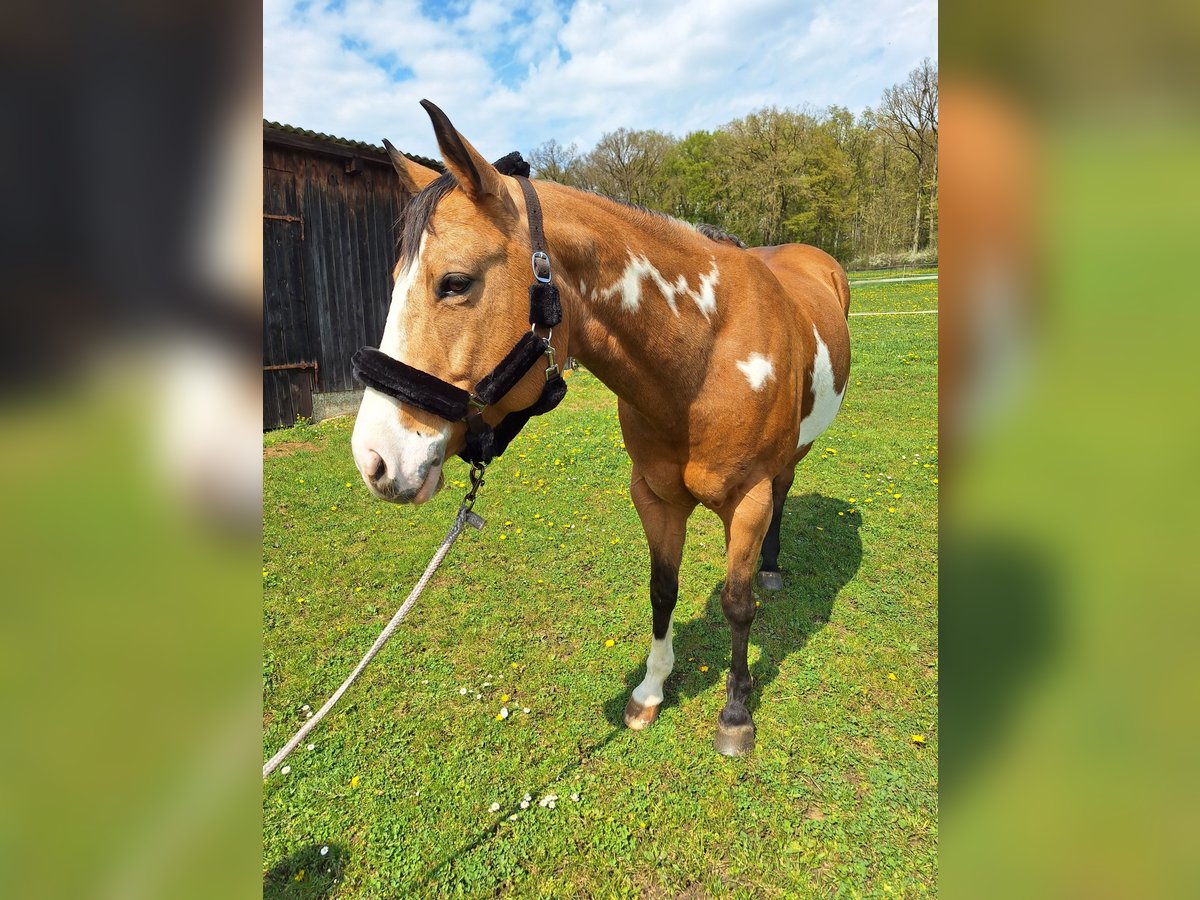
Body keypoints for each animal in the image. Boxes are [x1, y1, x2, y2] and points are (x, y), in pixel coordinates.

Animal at [351, 101, 851, 756]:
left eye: (455, 283)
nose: (374, 459)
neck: (704, 356)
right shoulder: (655, 496)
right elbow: (662, 589)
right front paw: (651, 691)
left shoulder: (748, 499)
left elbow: (736, 604)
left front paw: (736, 712)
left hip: (786, 462)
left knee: (784, 494)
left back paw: (769, 568)